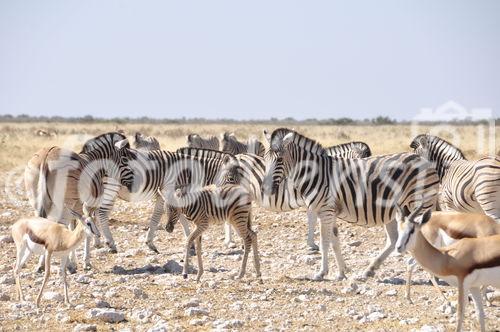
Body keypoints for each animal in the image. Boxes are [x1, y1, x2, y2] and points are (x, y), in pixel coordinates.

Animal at [24, 132, 134, 270]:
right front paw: (85, 262)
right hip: (63, 204)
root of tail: (47, 158)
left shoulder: (76, 208)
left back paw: (41, 265)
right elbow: (87, 229)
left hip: (36, 201)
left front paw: (74, 261)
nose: (132, 183)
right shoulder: (89, 205)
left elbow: (74, 228)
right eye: (125, 159)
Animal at [262, 128, 438, 282]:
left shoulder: (325, 210)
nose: (265, 189)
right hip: (396, 210)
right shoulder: (328, 211)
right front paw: (341, 273)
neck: (315, 173)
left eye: (279, 160)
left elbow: (325, 243)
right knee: (394, 239)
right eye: (264, 159)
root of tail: (426, 162)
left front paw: (321, 273)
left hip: (420, 204)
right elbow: (334, 241)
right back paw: (369, 270)